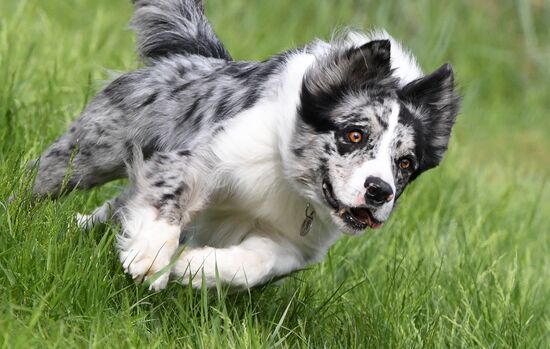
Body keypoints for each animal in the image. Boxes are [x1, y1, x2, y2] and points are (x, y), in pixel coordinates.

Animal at [31, 0, 462, 290]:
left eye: (404, 164)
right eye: (354, 134)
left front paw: (193, 267)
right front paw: (150, 257)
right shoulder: (201, 158)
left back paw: (80, 226)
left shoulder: (298, 242)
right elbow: (171, 197)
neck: (288, 178)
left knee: (115, 206)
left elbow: (261, 261)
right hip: (90, 151)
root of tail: (198, 56)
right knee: (44, 181)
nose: (379, 191)